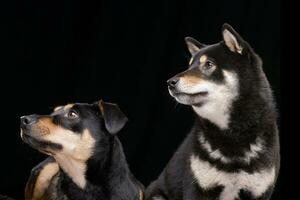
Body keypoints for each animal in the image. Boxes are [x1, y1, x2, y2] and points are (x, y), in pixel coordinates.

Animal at [145, 23, 278, 200]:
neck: (233, 134)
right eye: (189, 66)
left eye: (208, 64)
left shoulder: (259, 192)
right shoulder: (197, 188)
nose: (170, 82)